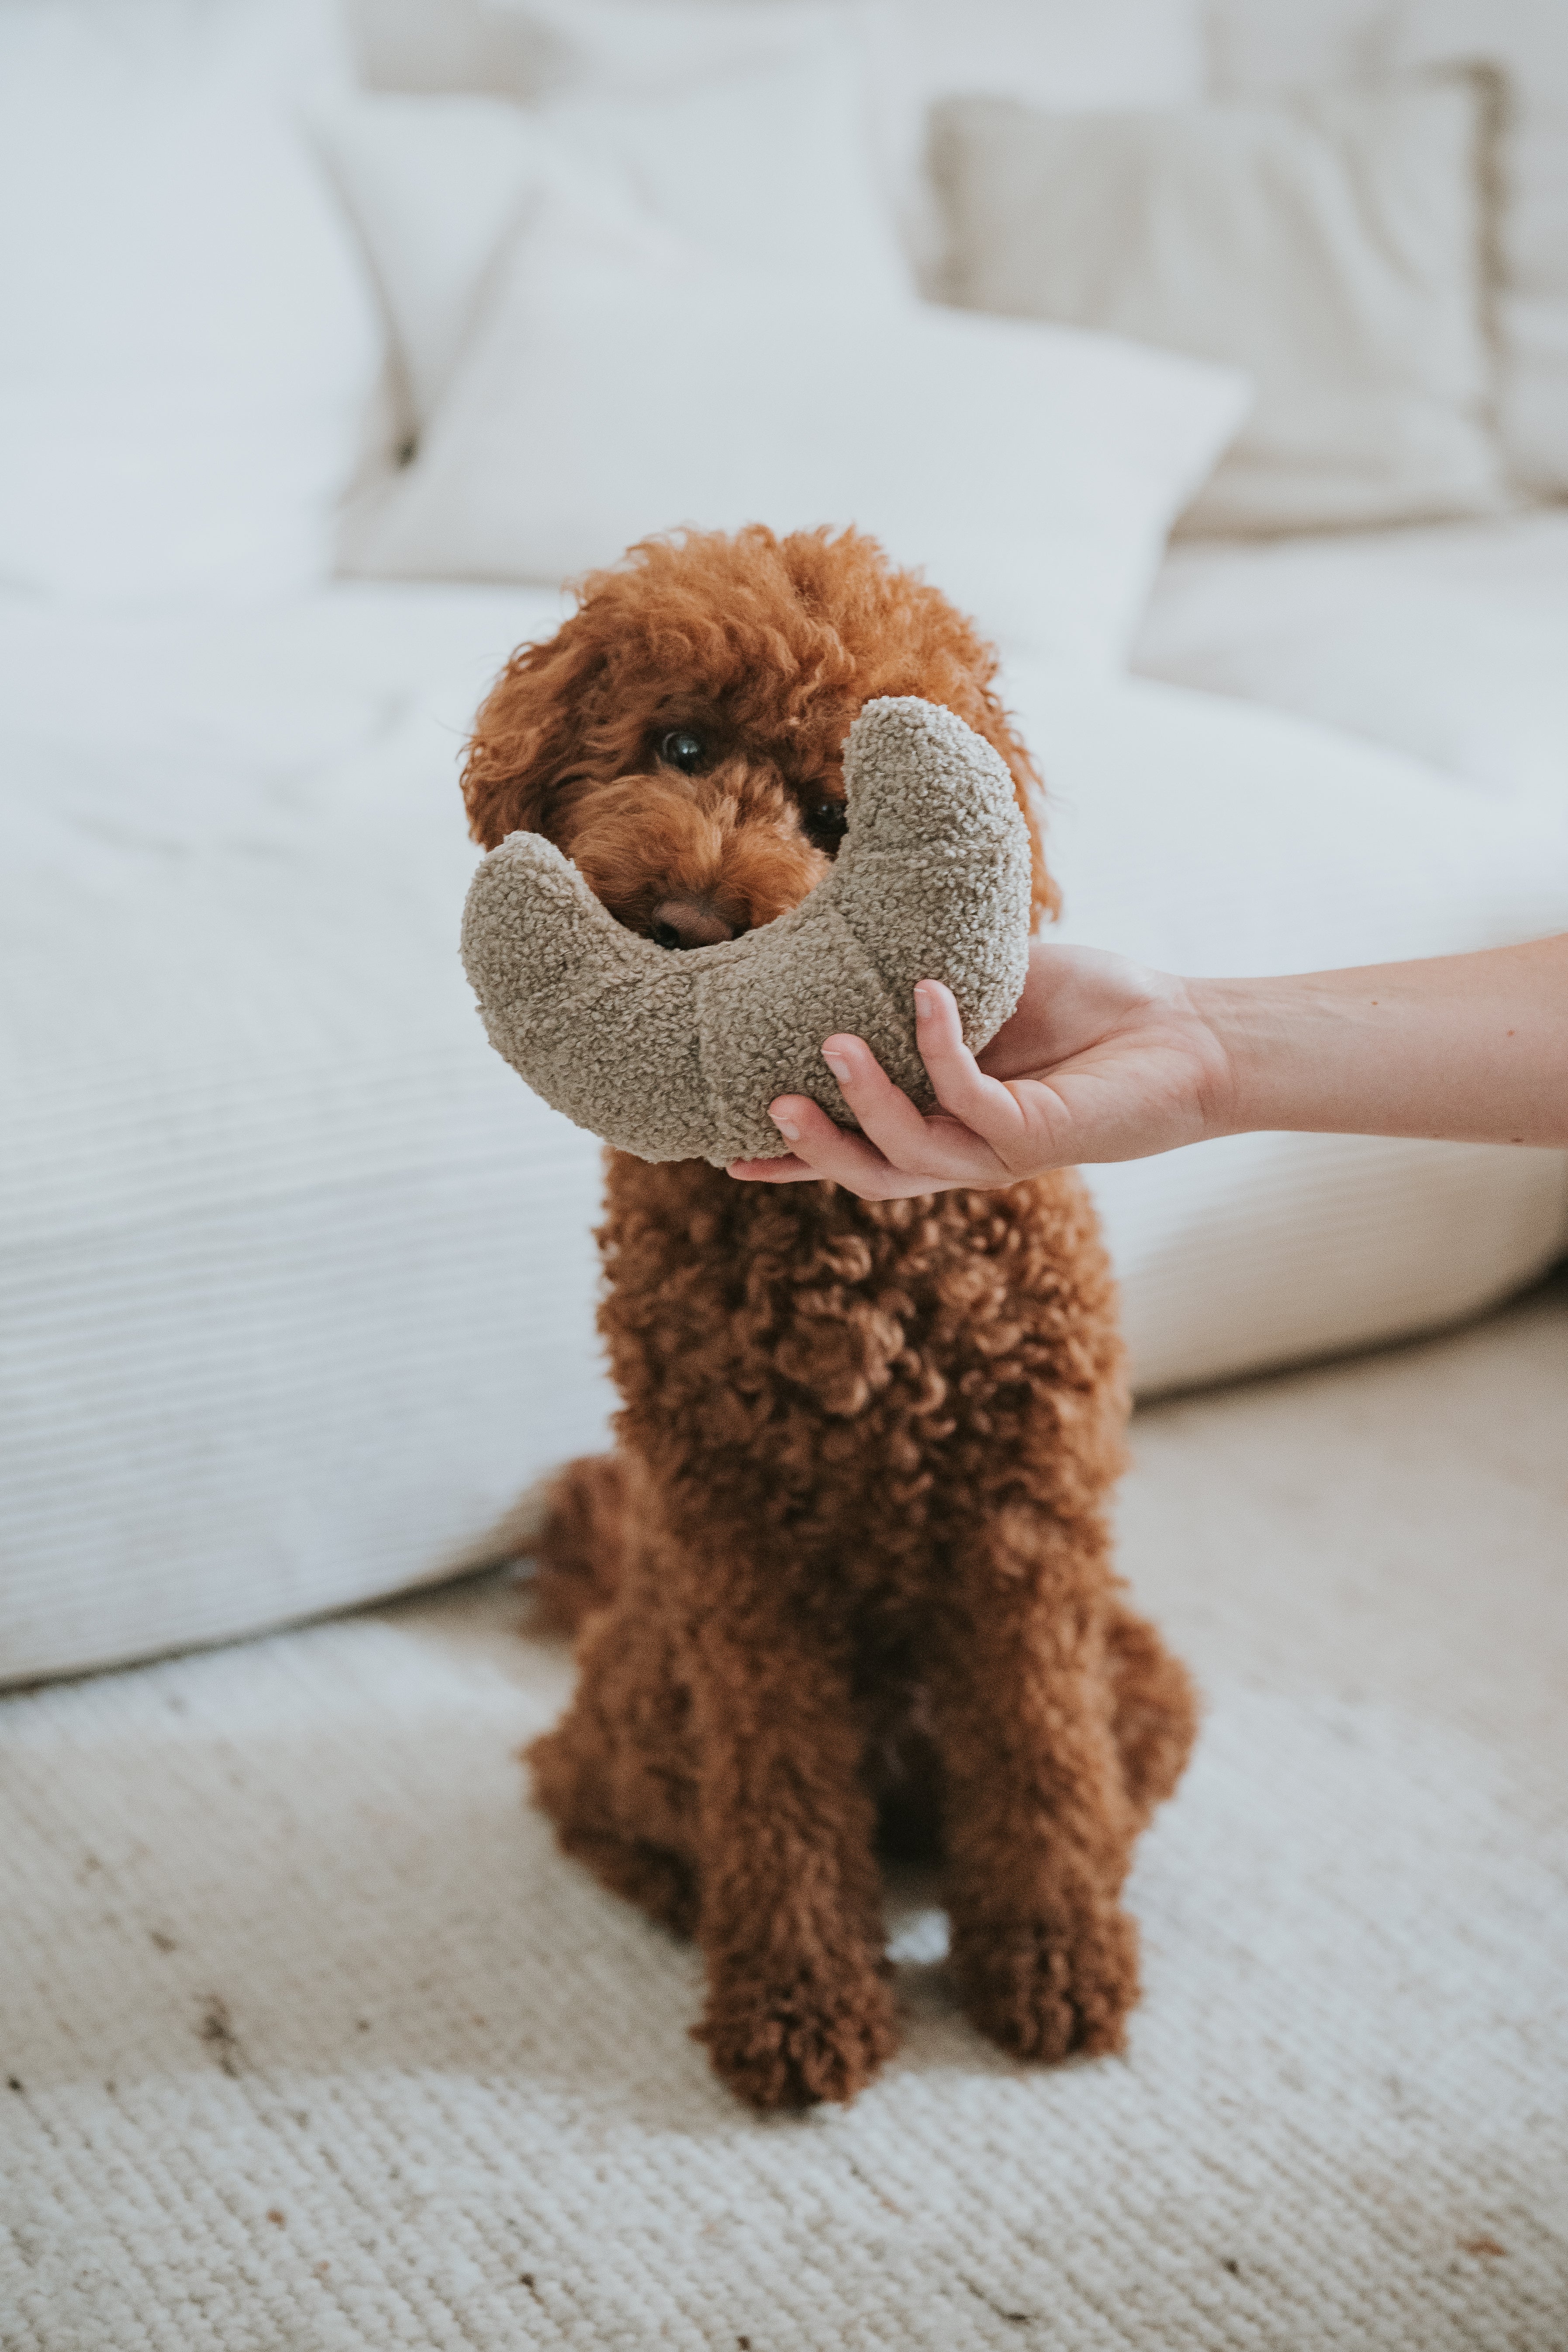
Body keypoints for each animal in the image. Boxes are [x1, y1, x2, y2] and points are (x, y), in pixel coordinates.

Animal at [460, 529, 1194, 2117]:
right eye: (681, 744)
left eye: (836, 817)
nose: (685, 919)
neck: (833, 1242)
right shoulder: (741, 1558)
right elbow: (780, 1795)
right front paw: (797, 2008)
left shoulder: (1024, 1531)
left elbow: (1040, 1762)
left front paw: (1049, 1966)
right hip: (654, 1685)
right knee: (588, 1792)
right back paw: (710, 1907)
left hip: (1141, 1674)